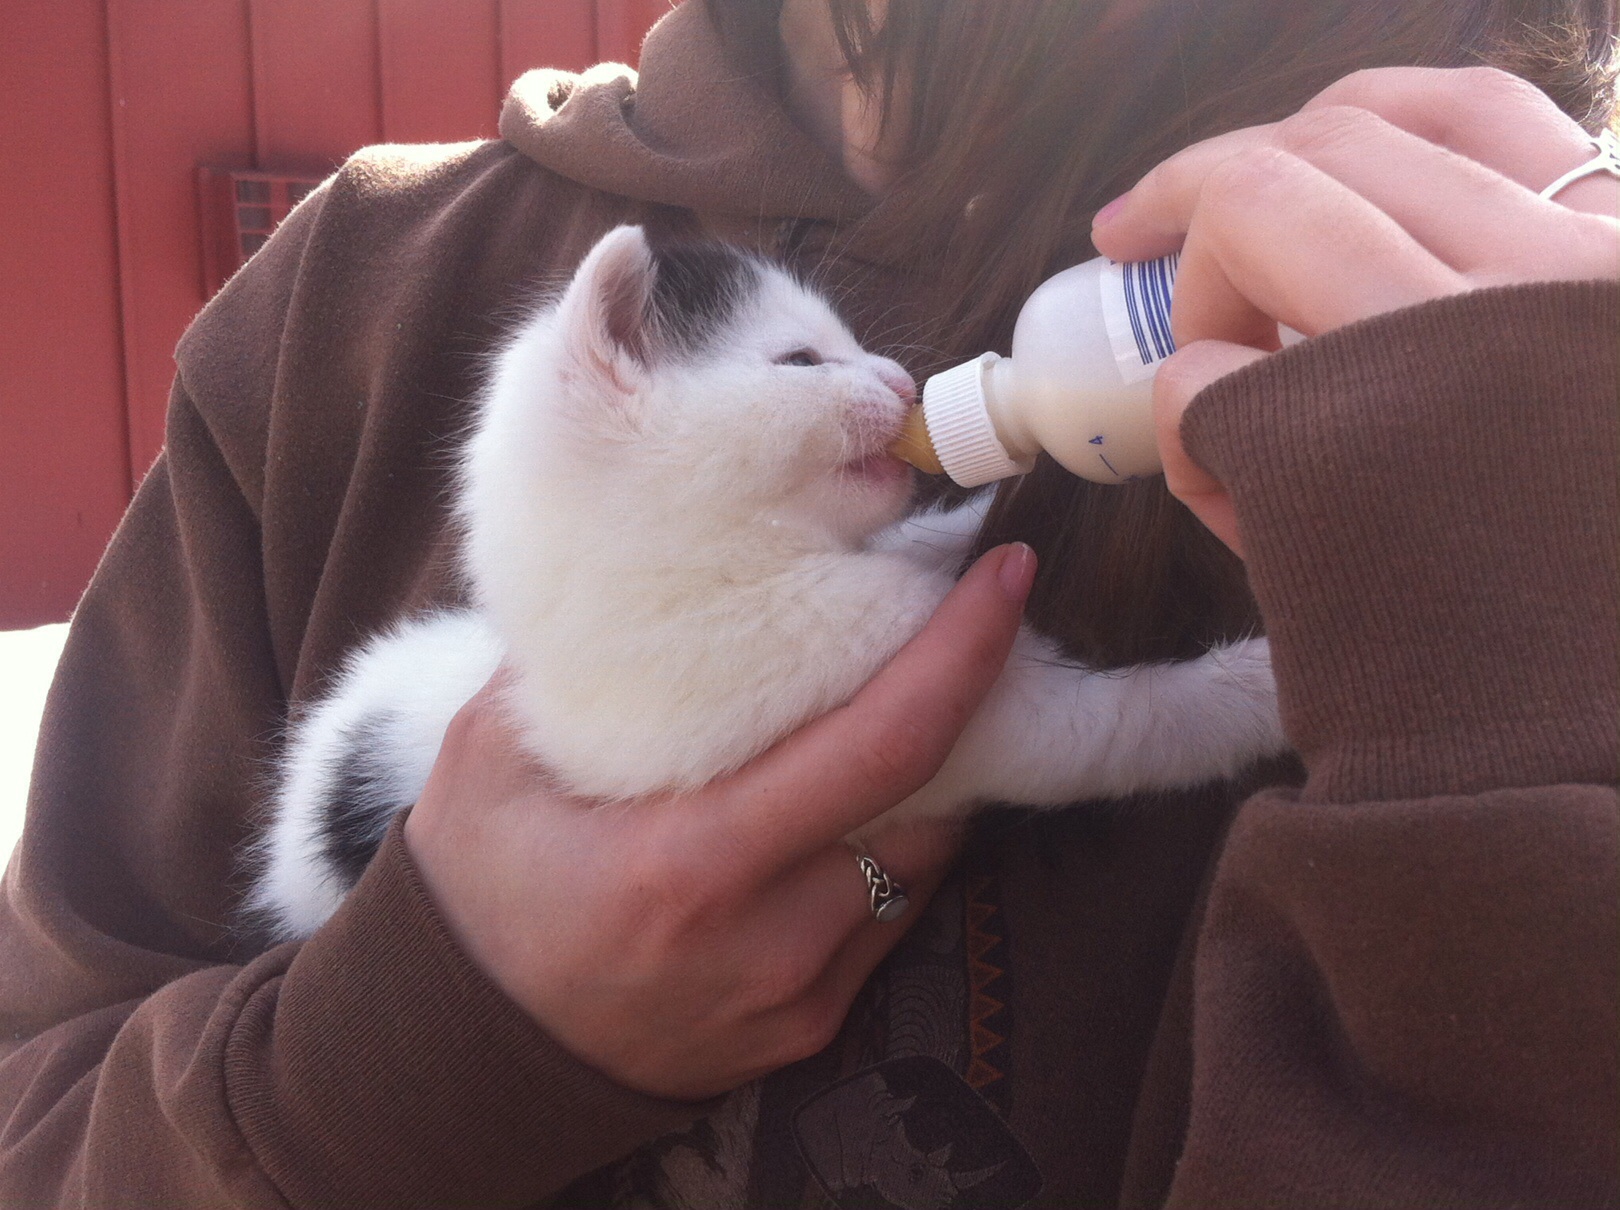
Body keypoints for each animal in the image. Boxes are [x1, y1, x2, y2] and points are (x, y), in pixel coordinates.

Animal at [248, 225, 1287, 940]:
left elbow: (925, 540)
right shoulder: (965, 729)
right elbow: (1136, 726)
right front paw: (1262, 686)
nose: (903, 379)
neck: (728, 571)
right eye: (801, 361)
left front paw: (977, 504)